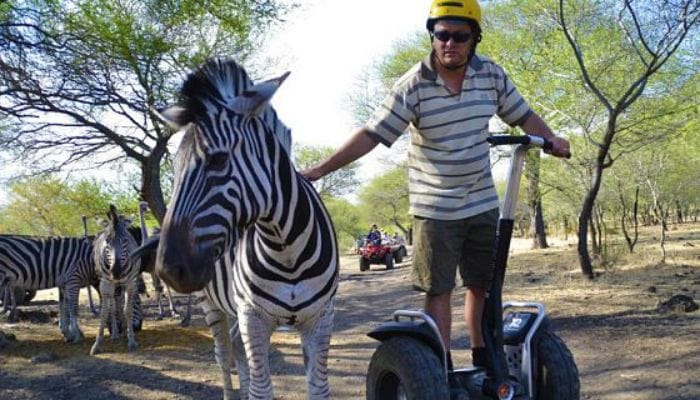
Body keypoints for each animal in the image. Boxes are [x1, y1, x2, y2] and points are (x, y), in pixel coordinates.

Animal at [91, 205, 144, 354]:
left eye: (125, 241)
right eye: (107, 242)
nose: (116, 272)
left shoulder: (130, 283)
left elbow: (128, 310)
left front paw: (131, 340)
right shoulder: (105, 284)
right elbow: (105, 311)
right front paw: (97, 344)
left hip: (123, 284)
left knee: (121, 306)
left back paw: (125, 332)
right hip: (113, 286)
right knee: (113, 306)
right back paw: (115, 333)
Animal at [150, 57, 340, 400]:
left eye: (218, 160)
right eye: (174, 167)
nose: (168, 271)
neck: (286, 249)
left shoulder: (321, 317)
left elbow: (318, 390)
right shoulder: (253, 316)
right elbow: (261, 391)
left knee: (237, 350)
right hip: (212, 305)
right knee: (224, 356)